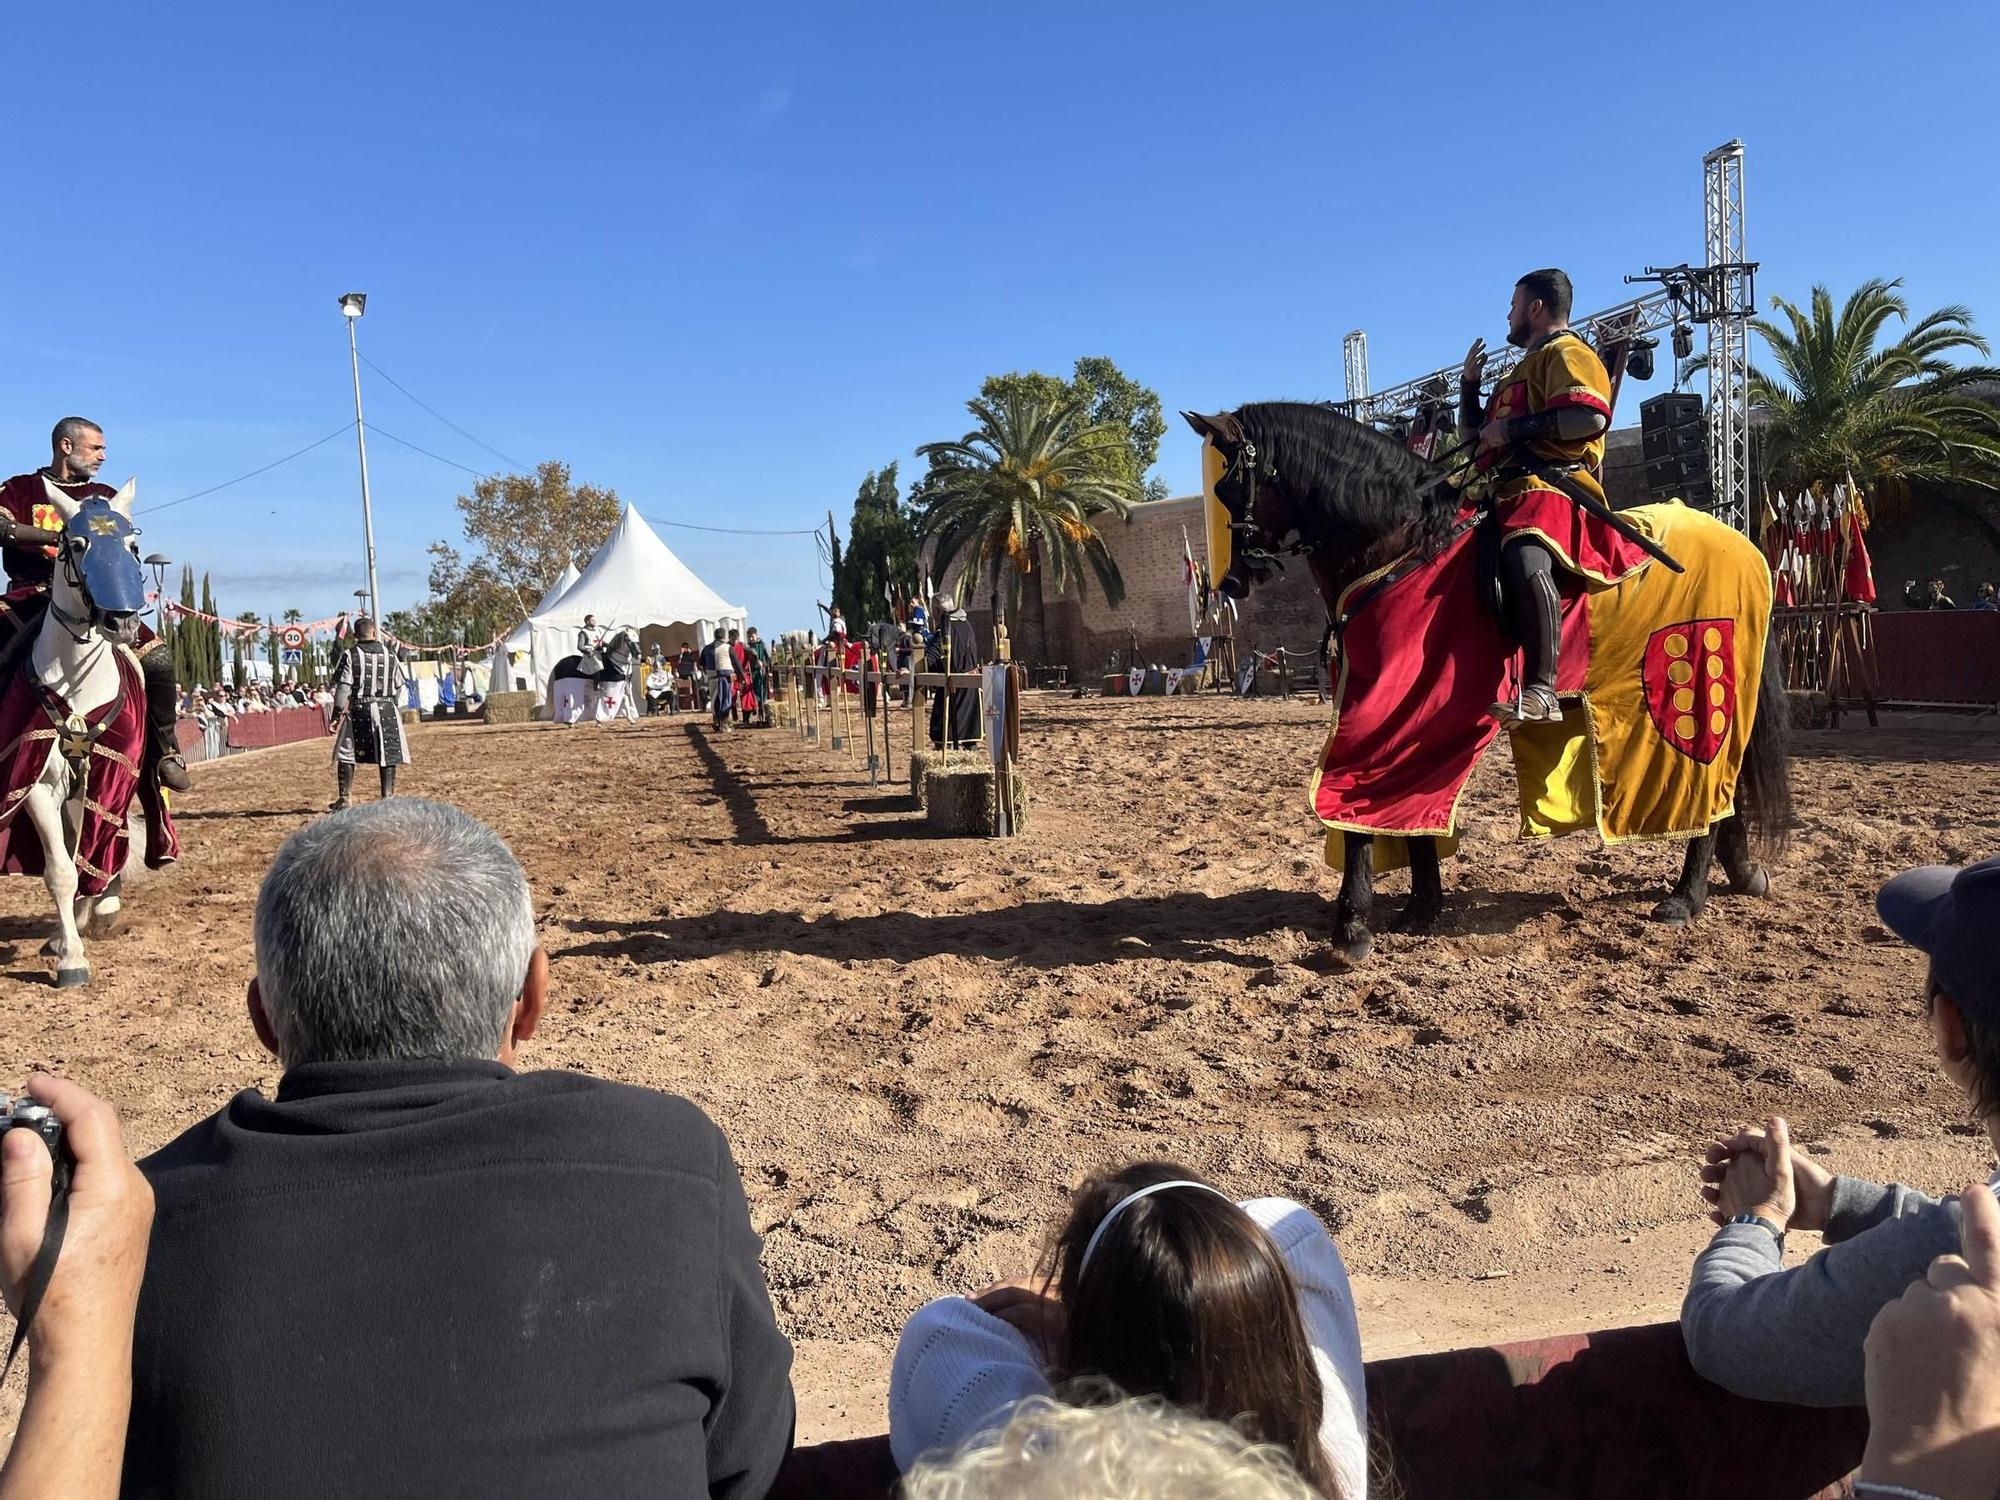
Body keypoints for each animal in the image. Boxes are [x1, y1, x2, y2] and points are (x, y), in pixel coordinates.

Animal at [10, 482, 152, 992]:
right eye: (75, 544)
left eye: (132, 546)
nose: (122, 622)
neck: (74, 677)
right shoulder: (37, 783)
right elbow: (59, 869)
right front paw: (70, 955)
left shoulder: (113, 770)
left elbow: (102, 844)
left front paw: (102, 905)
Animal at [1176, 402, 1792, 964]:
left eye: (1231, 486)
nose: (1232, 581)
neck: (1404, 547)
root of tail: (1743, 544)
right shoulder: (1410, 721)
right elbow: (1409, 812)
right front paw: (1420, 908)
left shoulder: (1382, 712)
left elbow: (1357, 811)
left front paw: (1351, 929)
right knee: (1727, 791)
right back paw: (1741, 874)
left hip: (1690, 692)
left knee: (1706, 790)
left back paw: (1686, 897)